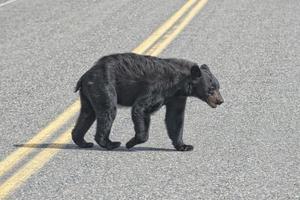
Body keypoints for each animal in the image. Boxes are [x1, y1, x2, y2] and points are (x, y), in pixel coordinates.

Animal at [71, 52, 223, 151]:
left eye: (218, 87)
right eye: (211, 89)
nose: (220, 100)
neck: (180, 83)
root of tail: (85, 76)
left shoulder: (176, 97)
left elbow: (175, 118)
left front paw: (184, 145)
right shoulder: (158, 87)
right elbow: (141, 108)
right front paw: (131, 142)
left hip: (89, 93)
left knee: (87, 114)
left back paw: (82, 141)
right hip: (104, 86)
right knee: (108, 111)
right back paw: (111, 143)